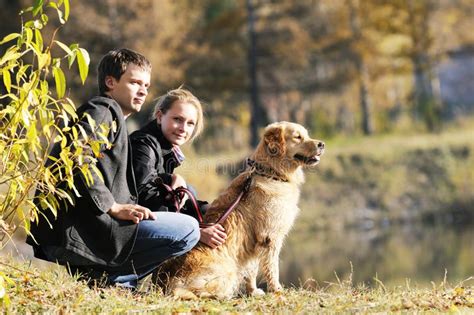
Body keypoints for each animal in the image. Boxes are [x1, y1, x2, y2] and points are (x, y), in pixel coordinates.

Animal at [154, 121, 324, 298]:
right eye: (298, 137)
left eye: (306, 135)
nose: (322, 144)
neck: (272, 174)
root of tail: (168, 281)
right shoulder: (269, 237)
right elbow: (272, 267)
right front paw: (277, 290)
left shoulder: (254, 241)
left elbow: (252, 269)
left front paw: (253, 291)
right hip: (227, 272)